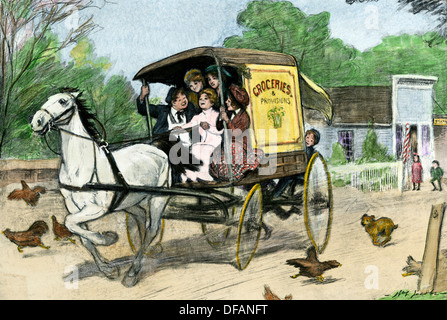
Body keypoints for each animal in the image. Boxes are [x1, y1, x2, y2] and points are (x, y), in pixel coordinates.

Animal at [31, 90, 172, 288]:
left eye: (62, 101)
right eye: (48, 99)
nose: (36, 121)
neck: (80, 167)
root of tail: (158, 150)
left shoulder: (97, 208)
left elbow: (70, 223)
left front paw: (107, 238)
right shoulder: (74, 208)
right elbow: (81, 235)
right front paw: (107, 268)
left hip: (159, 199)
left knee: (152, 230)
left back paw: (132, 273)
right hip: (129, 201)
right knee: (141, 221)